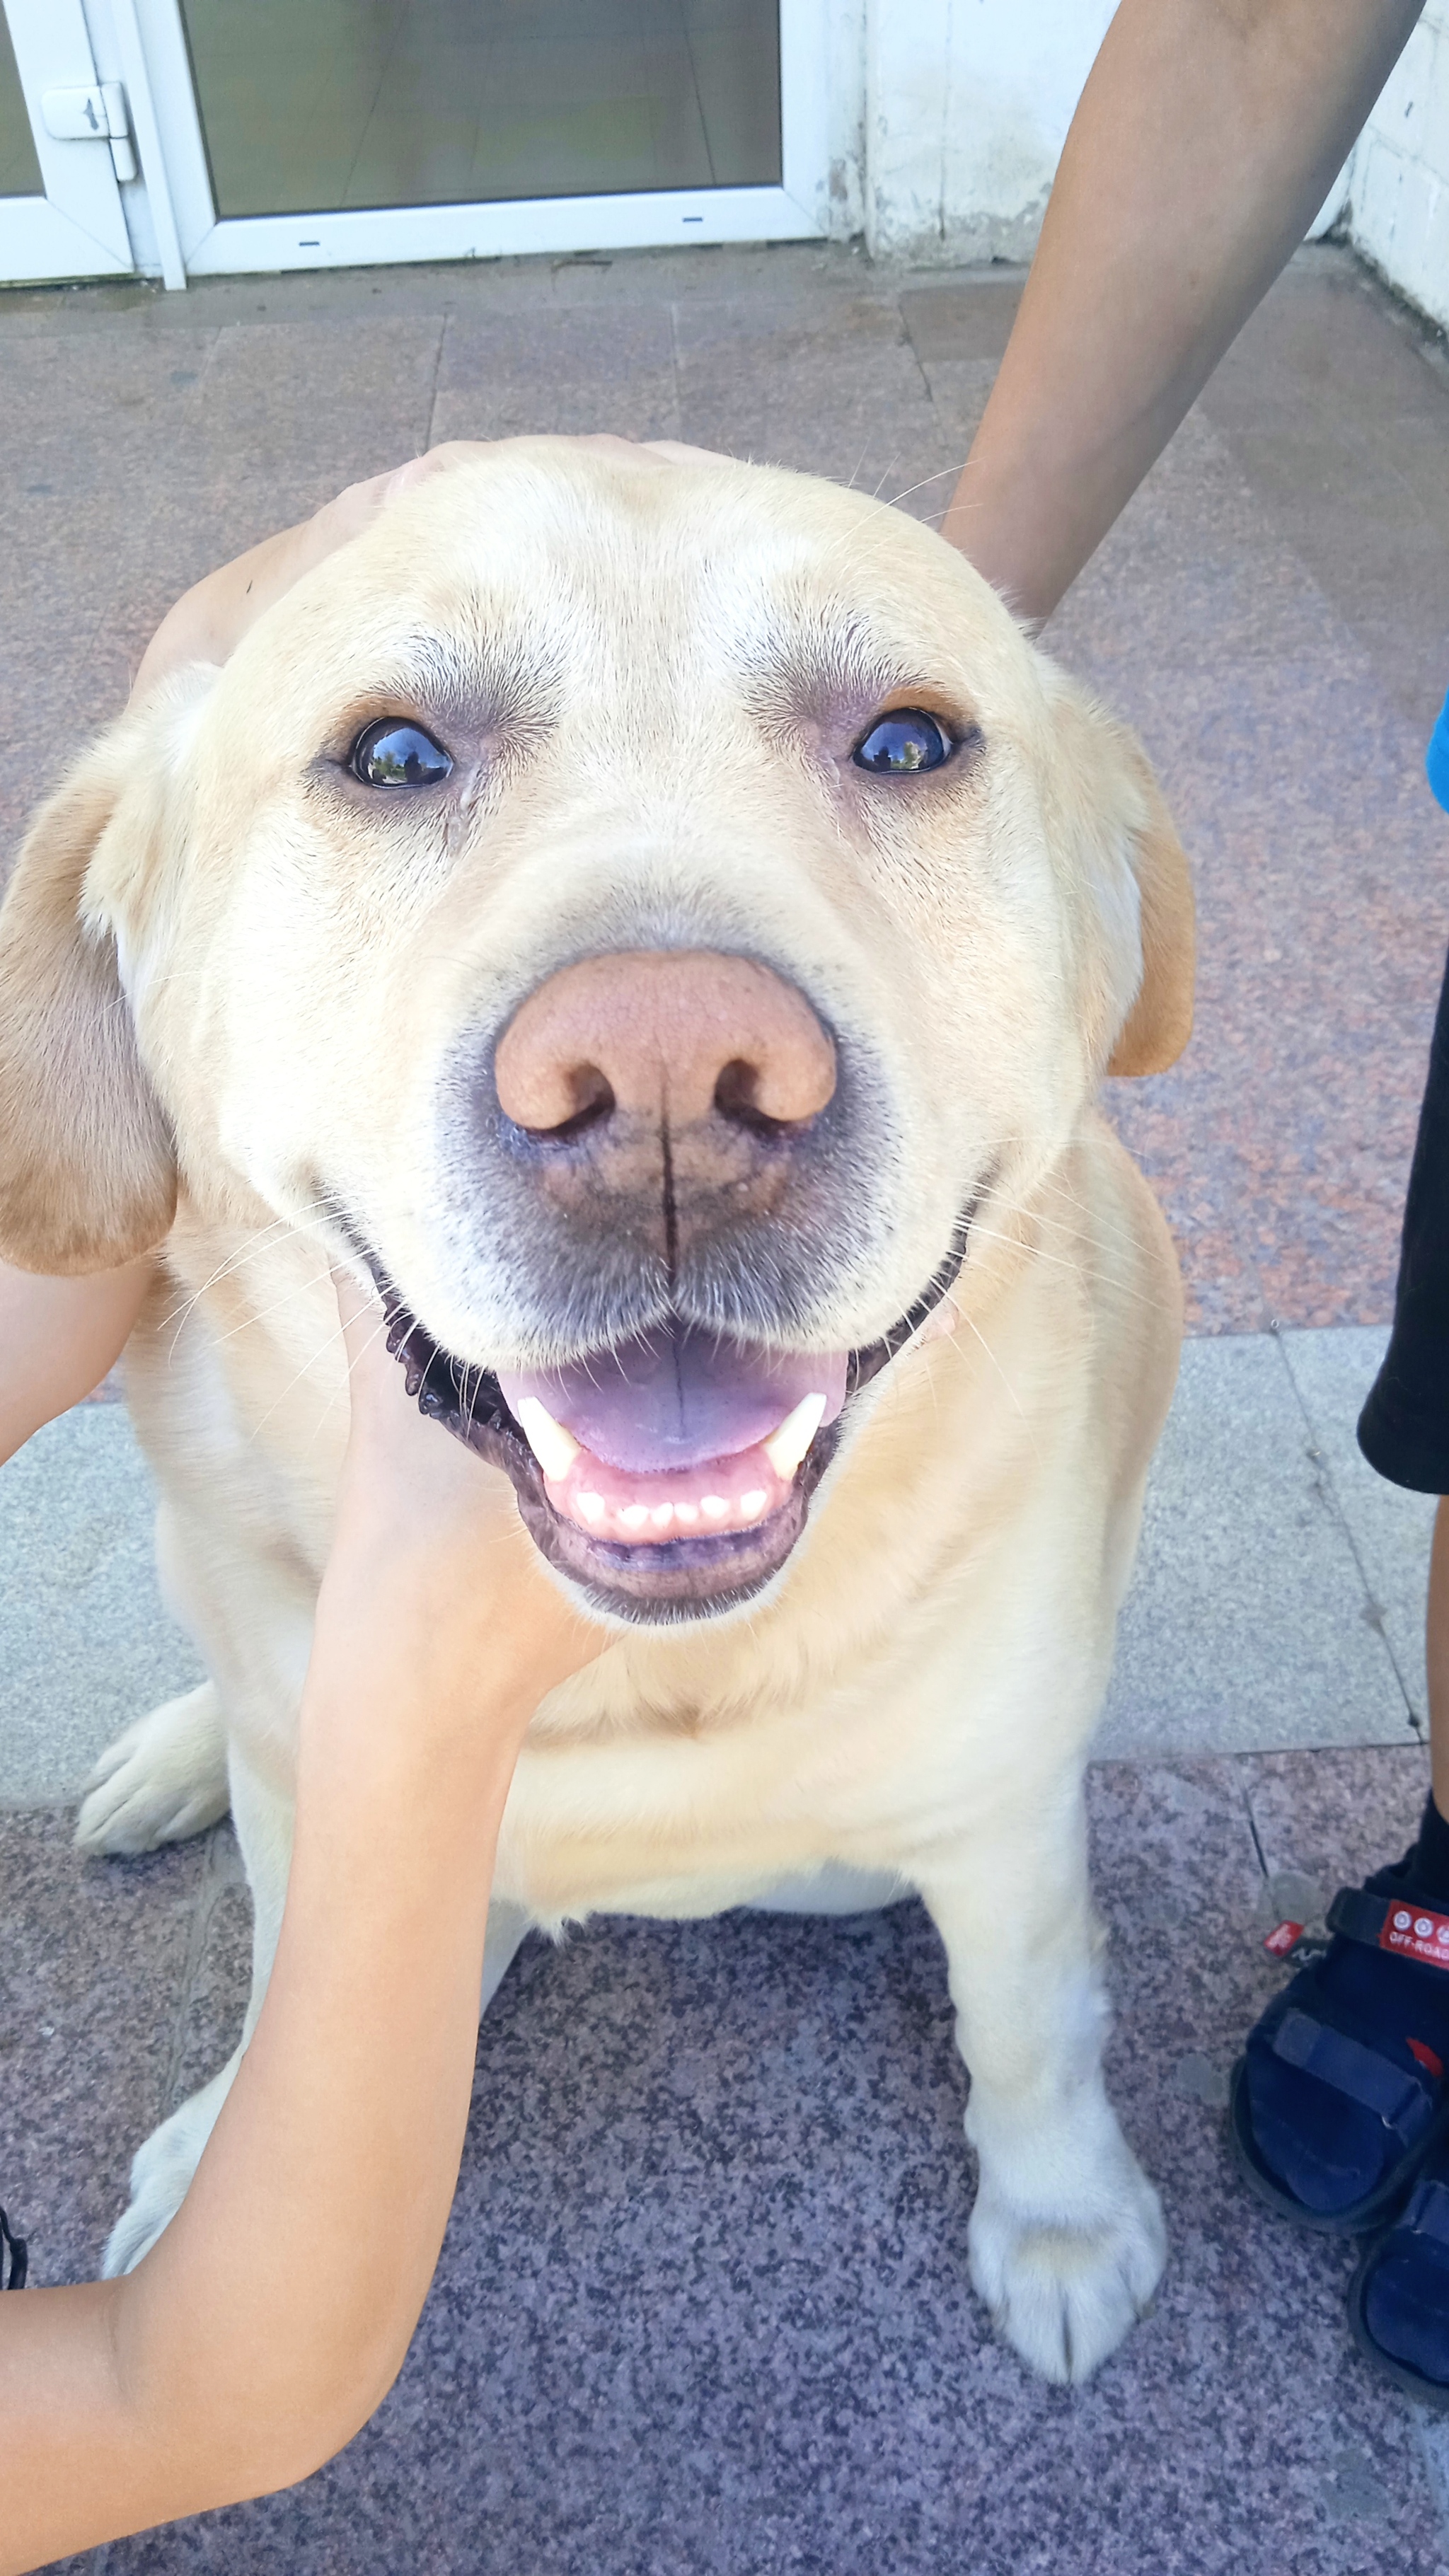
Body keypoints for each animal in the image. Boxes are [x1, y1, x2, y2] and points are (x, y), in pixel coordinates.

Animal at [0, 437, 1186, 2369]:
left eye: (908, 741)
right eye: (393, 756)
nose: (666, 1079)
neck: (646, 1679)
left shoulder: (1000, 1825)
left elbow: (1027, 2027)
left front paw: (1064, 2219)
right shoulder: (330, 1800)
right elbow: (289, 1960)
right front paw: (226, 2139)